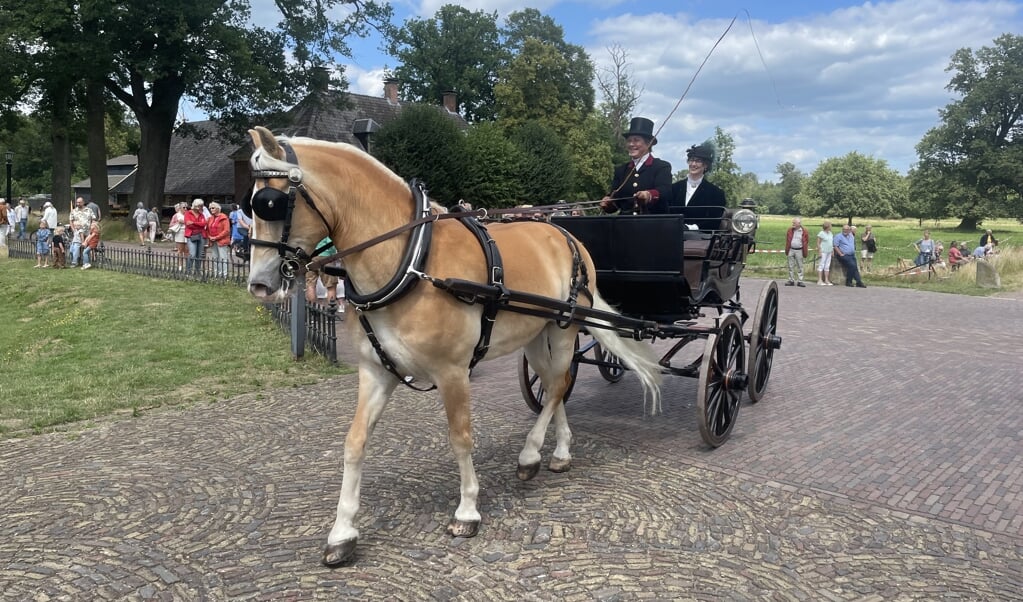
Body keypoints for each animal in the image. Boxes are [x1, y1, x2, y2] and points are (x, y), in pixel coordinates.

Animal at [245, 125, 662, 565]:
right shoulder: (375, 371)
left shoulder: (453, 372)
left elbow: (460, 437)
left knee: (558, 386)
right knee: (555, 385)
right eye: (251, 201)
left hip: (564, 329)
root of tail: (563, 232)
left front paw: (467, 510)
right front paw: (342, 532)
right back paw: (558, 453)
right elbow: (354, 443)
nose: (259, 284)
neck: (411, 261)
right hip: (535, 337)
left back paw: (531, 454)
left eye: (269, 203)